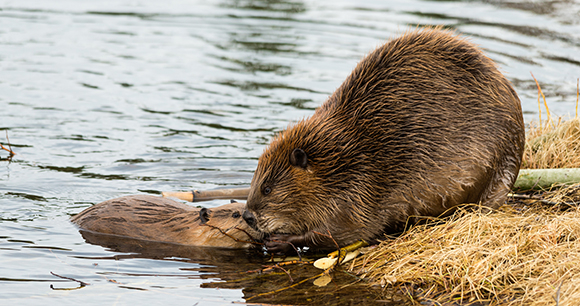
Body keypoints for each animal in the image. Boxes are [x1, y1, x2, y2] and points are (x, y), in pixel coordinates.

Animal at [242, 27, 528, 253]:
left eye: (267, 189)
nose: (247, 216)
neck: (338, 155)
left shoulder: (358, 188)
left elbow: (345, 232)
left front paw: (280, 241)